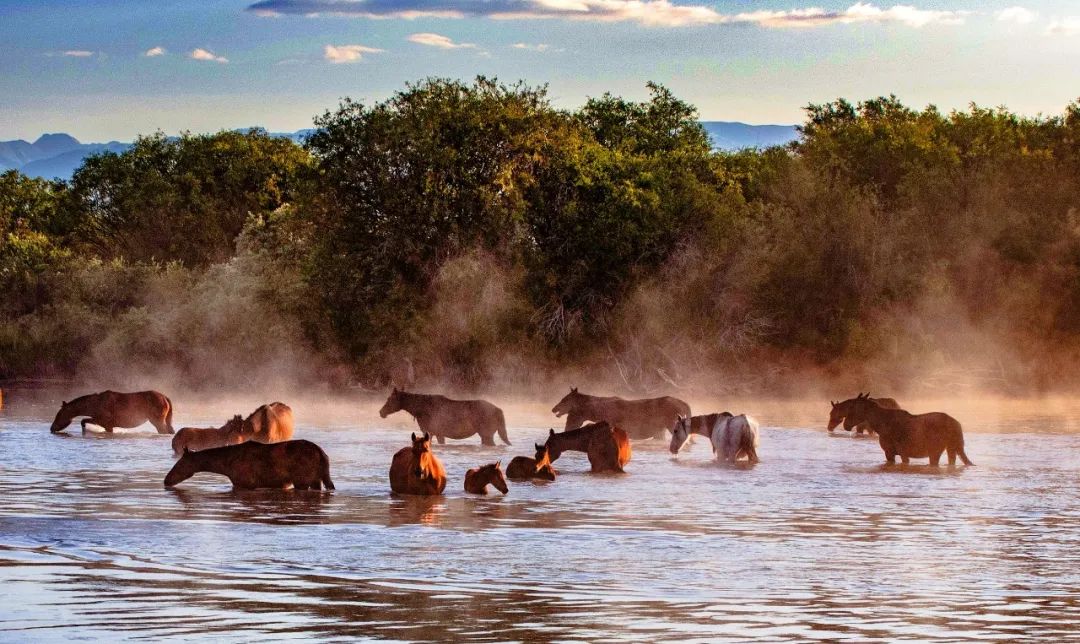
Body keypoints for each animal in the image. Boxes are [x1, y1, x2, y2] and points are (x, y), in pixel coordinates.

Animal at [162, 440, 332, 490]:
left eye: (179, 464)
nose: (166, 480)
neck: (224, 466)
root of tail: (322, 453)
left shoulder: (244, 483)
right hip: (317, 479)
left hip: (302, 480)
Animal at [380, 388, 509, 445]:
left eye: (389, 399)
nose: (381, 412)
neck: (420, 410)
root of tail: (499, 410)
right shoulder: (435, 433)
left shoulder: (434, 432)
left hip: (487, 434)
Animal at [846, 393, 976, 468]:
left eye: (853, 407)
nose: (846, 424)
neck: (879, 426)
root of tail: (957, 424)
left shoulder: (893, 452)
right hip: (951, 448)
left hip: (936, 451)